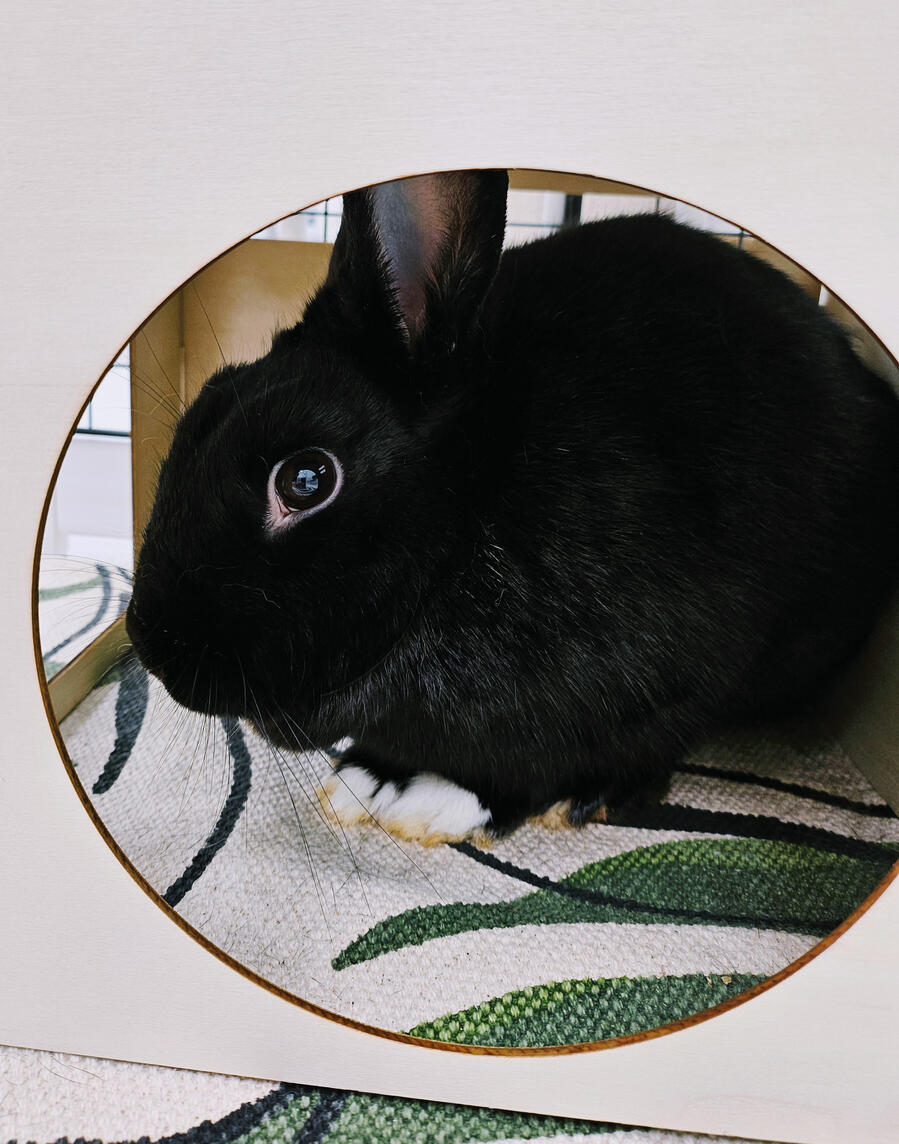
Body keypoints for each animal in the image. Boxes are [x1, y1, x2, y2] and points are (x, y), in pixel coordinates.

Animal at [125, 169, 899, 844]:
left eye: (307, 481)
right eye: (202, 408)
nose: (151, 643)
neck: (464, 533)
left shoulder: (667, 689)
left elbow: (566, 758)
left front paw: (438, 799)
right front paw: (372, 776)